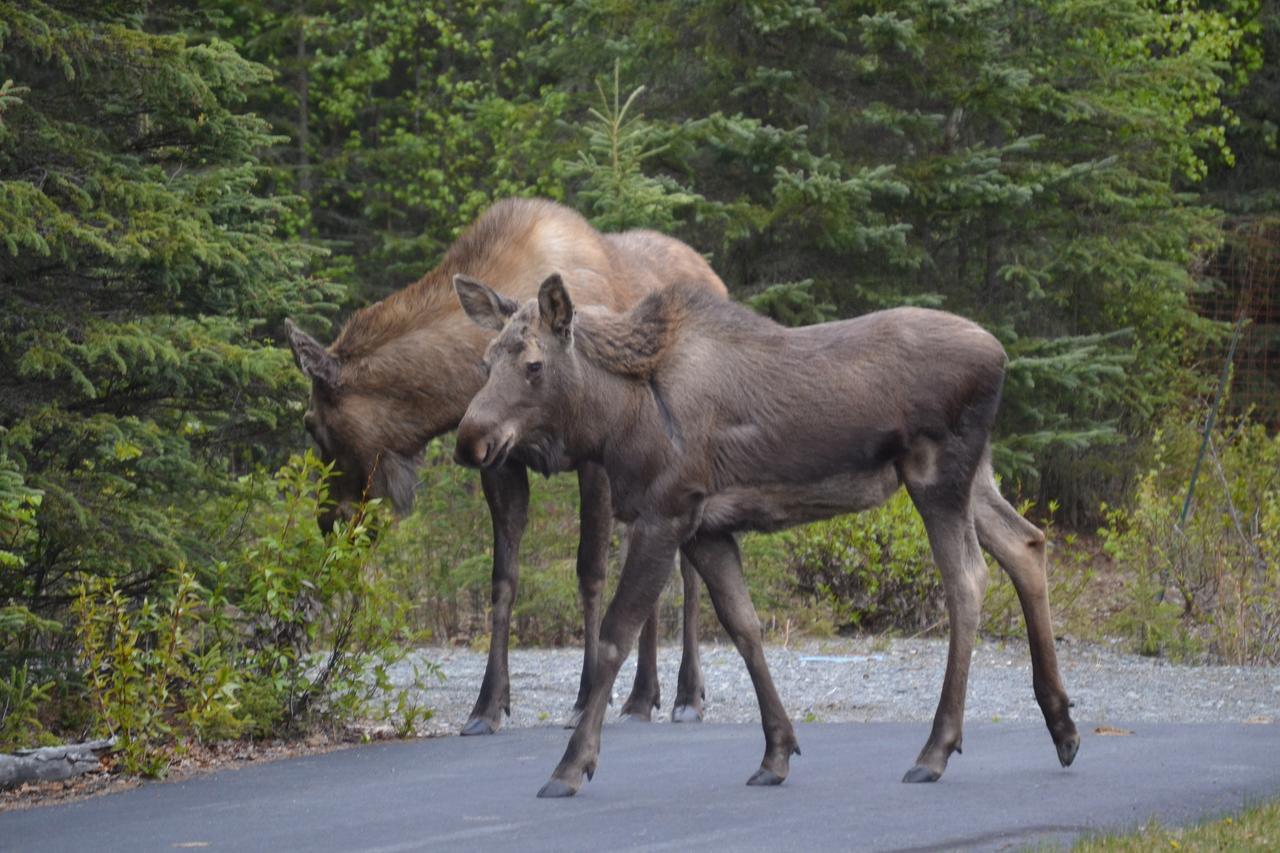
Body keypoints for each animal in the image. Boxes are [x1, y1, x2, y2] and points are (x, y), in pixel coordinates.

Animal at [286, 197, 732, 732]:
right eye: (484, 364)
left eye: (312, 424)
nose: (326, 521)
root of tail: (718, 280)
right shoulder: (498, 462)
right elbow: (503, 578)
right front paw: (489, 703)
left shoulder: (594, 464)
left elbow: (590, 573)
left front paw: (586, 697)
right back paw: (642, 697)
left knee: (688, 572)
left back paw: (688, 694)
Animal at [453, 274, 1080, 799]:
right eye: (484, 361)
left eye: (534, 365)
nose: (470, 441)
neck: (612, 423)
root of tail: (1001, 355)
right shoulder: (707, 528)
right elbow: (744, 628)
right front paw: (776, 753)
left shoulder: (663, 513)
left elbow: (615, 637)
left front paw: (570, 766)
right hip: (974, 474)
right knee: (1027, 544)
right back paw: (1063, 728)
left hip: (936, 472)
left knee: (968, 580)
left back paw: (936, 750)